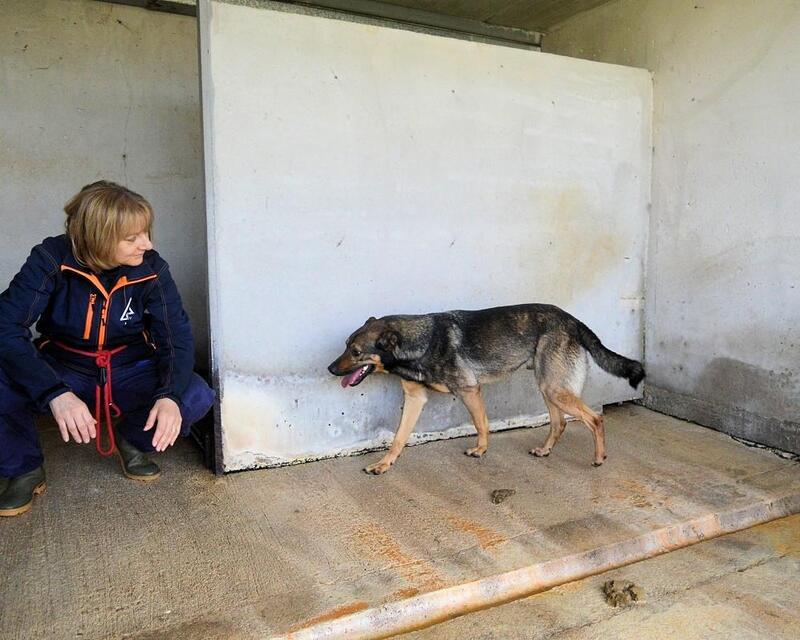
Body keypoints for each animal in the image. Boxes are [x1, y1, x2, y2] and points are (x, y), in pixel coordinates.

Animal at [327, 304, 644, 474]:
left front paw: (481, 449)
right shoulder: (415, 398)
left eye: (356, 352)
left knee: (595, 418)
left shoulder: (470, 390)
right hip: (547, 387)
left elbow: (481, 423)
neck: (421, 341)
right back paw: (545, 450)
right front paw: (384, 464)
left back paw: (599, 457)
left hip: (555, 389)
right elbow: (398, 438)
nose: (330, 369)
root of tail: (573, 320)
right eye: (345, 346)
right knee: (559, 423)